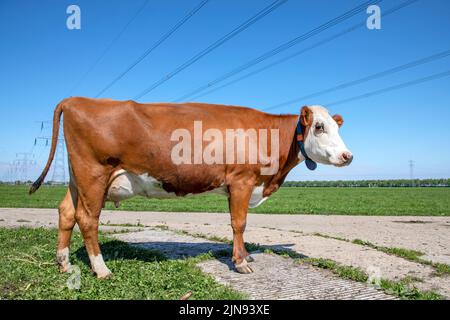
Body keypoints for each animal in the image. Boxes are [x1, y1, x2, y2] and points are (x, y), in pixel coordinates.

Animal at [29, 98, 352, 278]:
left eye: (338, 127)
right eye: (319, 127)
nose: (348, 156)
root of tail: (76, 99)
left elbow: (238, 224)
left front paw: (245, 255)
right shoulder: (242, 180)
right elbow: (239, 222)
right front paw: (241, 263)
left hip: (78, 177)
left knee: (66, 212)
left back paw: (64, 264)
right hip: (93, 173)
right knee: (87, 219)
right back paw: (101, 269)